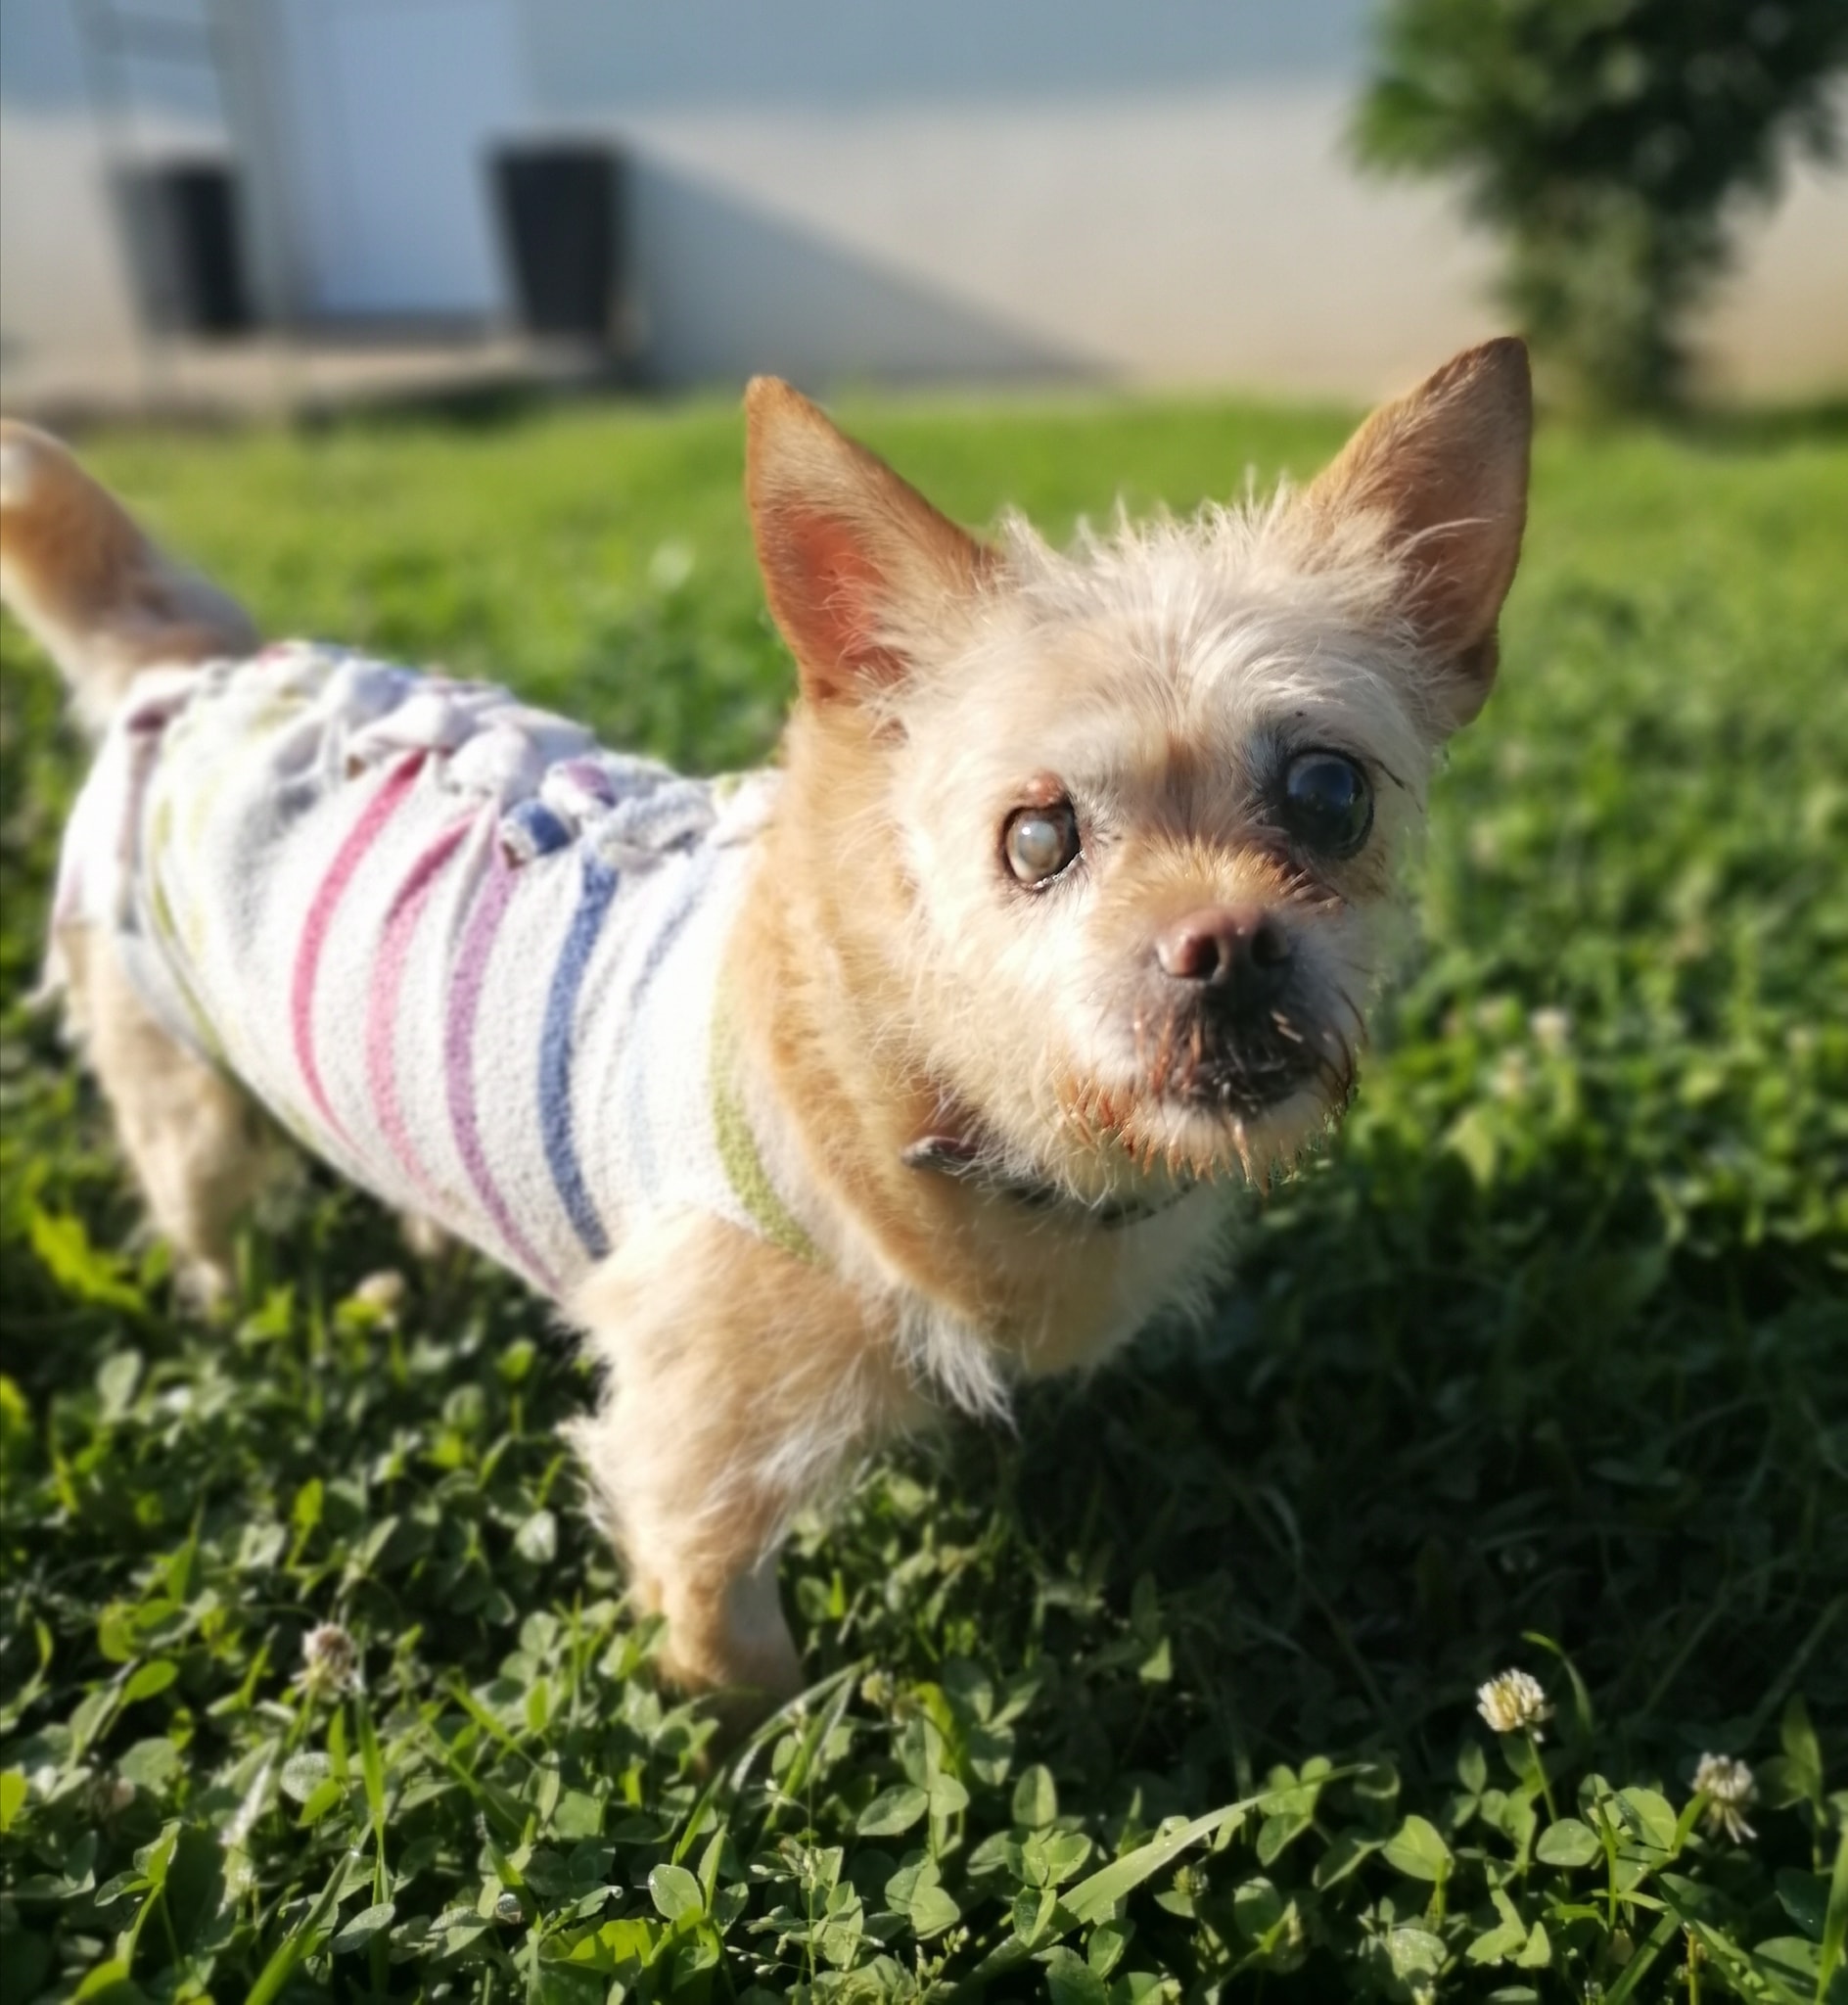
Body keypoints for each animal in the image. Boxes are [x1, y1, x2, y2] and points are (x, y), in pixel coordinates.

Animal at [0, 337, 1523, 1716]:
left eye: (1330, 794)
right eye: (1036, 839)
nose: (1228, 945)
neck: (924, 1086)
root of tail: (195, 664)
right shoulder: (691, 1464)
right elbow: (732, 1645)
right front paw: (752, 1761)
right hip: (184, 1106)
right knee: (204, 1218)